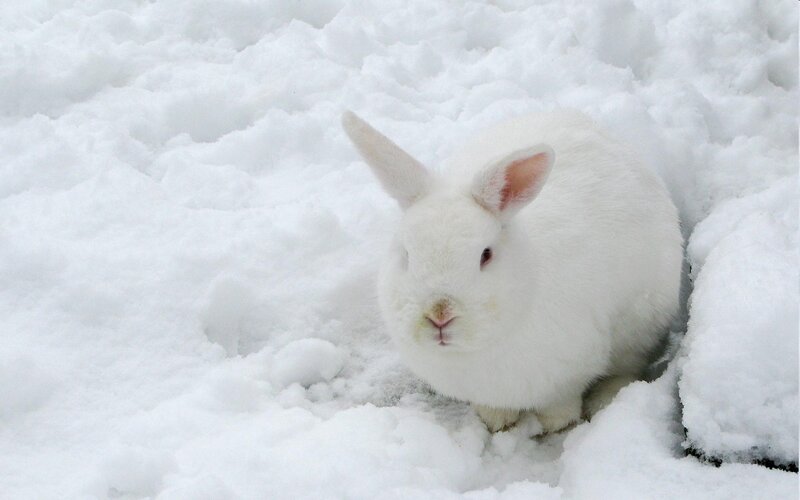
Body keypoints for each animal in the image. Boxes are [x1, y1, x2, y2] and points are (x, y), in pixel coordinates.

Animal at [342, 110, 682, 433]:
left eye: (486, 255)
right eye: (406, 254)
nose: (439, 314)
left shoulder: (570, 373)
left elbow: (561, 403)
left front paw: (555, 424)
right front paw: (496, 422)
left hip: (642, 324)